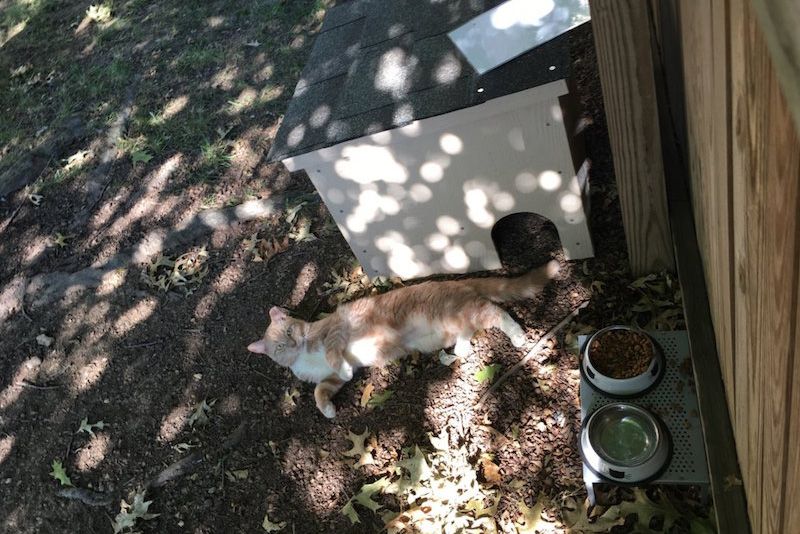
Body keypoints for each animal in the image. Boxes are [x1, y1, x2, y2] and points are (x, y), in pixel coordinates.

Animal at [248, 262, 556, 420]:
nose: (293, 343)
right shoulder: (329, 380)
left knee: (496, 312)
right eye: (279, 347)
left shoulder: (334, 332)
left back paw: (517, 335)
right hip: (451, 327)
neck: (306, 353)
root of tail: (455, 282)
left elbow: (334, 354)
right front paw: (328, 410)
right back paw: (455, 352)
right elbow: (320, 390)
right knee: (467, 336)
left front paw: (340, 370)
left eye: (289, 331)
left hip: (464, 313)